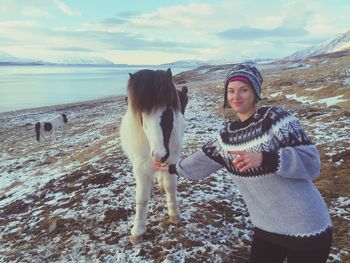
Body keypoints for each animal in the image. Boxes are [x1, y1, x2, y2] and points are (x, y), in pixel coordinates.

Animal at [119, 68, 187, 245]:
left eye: (168, 113)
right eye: (143, 116)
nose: (159, 155)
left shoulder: (171, 161)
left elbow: (171, 187)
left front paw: (174, 215)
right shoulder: (141, 169)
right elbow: (142, 197)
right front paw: (137, 231)